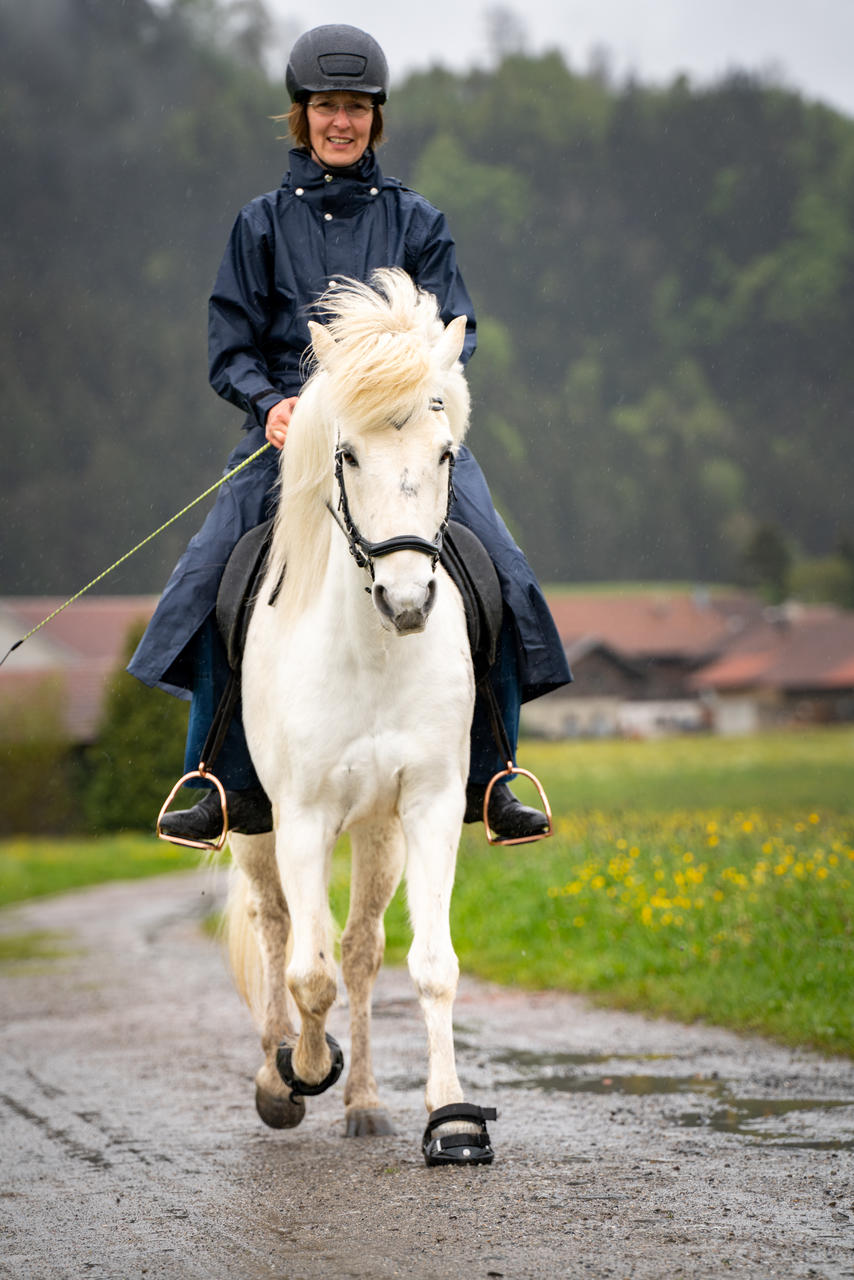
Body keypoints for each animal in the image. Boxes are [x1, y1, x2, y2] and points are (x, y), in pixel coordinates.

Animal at [224, 264, 496, 1167]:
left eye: (444, 454)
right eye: (347, 454)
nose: (407, 601)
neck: (373, 657)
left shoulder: (430, 806)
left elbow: (430, 965)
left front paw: (450, 1117)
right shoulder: (303, 817)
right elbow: (306, 973)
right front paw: (302, 1069)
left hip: (378, 832)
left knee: (362, 949)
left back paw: (367, 1102)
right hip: (257, 828)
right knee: (279, 931)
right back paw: (280, 1080)